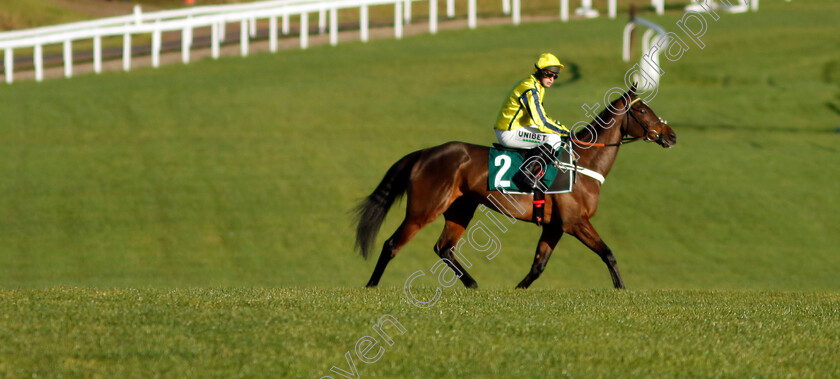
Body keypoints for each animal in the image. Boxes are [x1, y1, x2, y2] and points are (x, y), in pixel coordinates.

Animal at [352, 87, 676, 290]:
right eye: (643, 110)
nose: (671, 135)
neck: (582, 163)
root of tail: (424, 153)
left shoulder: (555, 226)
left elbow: (538, 266)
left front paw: (517, 290)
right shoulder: (575, 222)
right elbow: (608, 253)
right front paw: (621, 288)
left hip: (460, 209)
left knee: (443, 247)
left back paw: (472, 284)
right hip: (424, 209)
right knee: (392, 244)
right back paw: (371, 285)